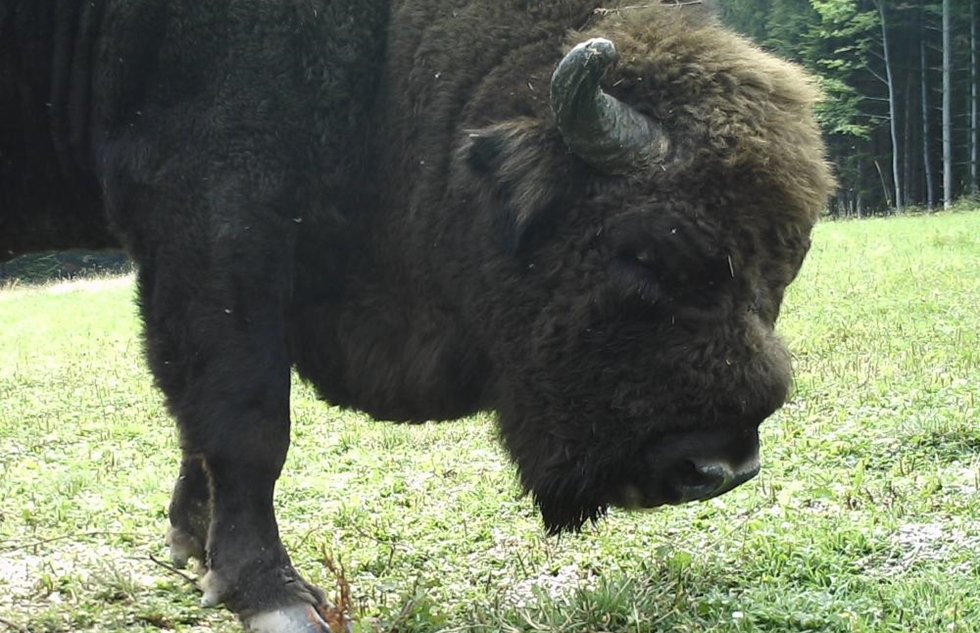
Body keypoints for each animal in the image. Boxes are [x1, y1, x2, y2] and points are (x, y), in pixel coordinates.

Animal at [0, 0, 836, 628]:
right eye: (648, 253)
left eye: (788, 261)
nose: (719, 469)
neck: (387, 51)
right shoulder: (210, 216)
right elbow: (247, 419)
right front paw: (273, 596)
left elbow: (197, 416)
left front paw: (191, 548)